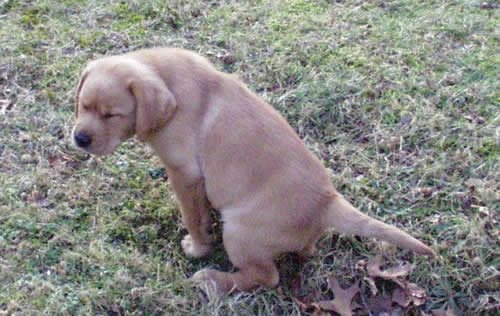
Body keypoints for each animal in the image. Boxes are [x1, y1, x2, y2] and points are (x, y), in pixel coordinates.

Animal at [71, 47, 434, 294]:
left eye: (111, 114)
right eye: (83, 105)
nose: (80, 138)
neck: (167, 79)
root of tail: (327, 202)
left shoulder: (184, 174)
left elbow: (192, 216)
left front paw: (198, 248)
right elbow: (202, 213)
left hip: (239, 232)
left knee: (266, 276)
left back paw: (213, 280)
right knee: (305, 252)